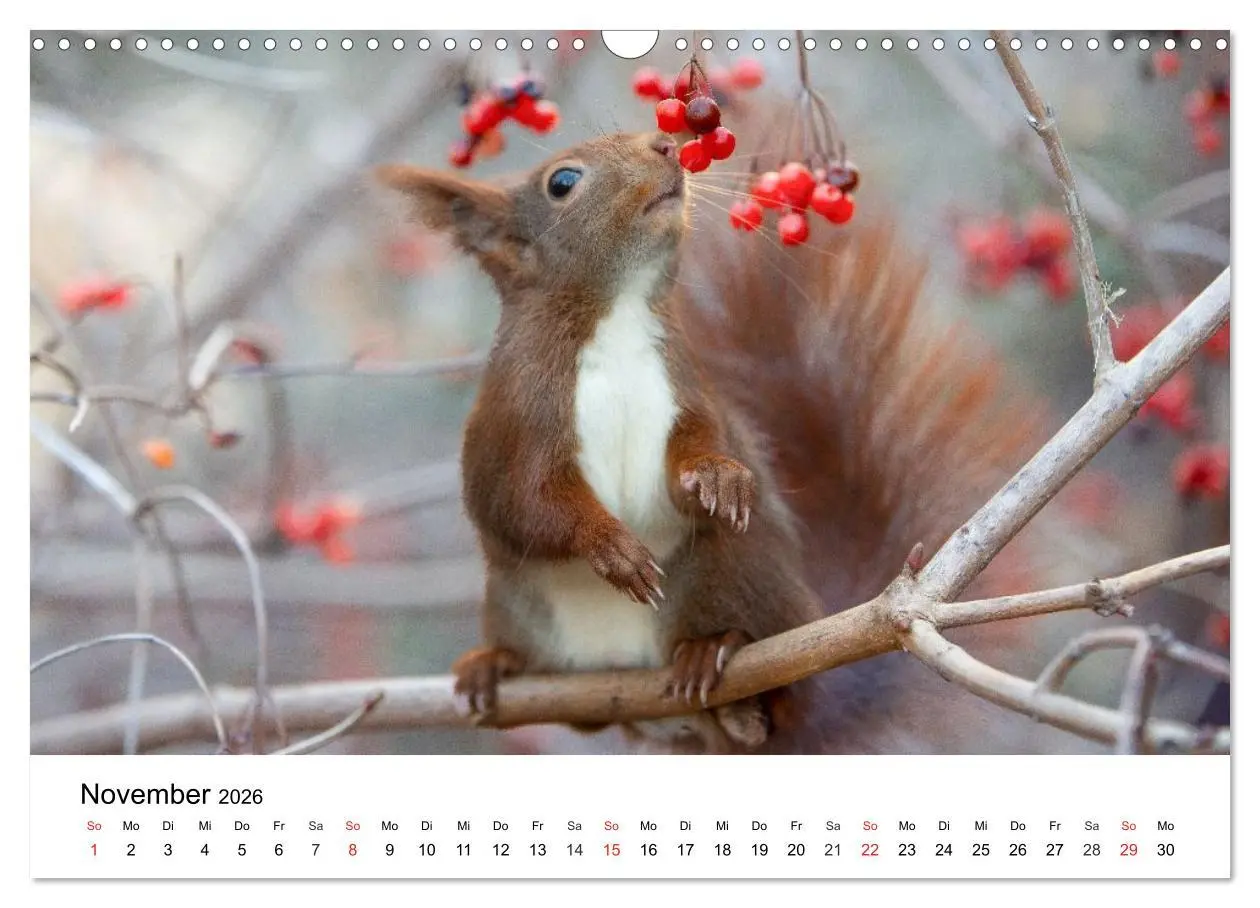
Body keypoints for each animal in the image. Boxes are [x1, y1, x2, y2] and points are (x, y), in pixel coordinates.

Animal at [376, 128, 1040, 754]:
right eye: (562, 182)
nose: (665, 143)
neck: (616, 316)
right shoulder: (520, 418)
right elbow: (526, 502)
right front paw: (609, 545)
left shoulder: (690, 394)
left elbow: (693, 456)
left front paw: (719, 476)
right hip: (514, 605)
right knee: (575, 708)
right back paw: (494, 667)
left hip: (727, 571)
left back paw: (716, 658)